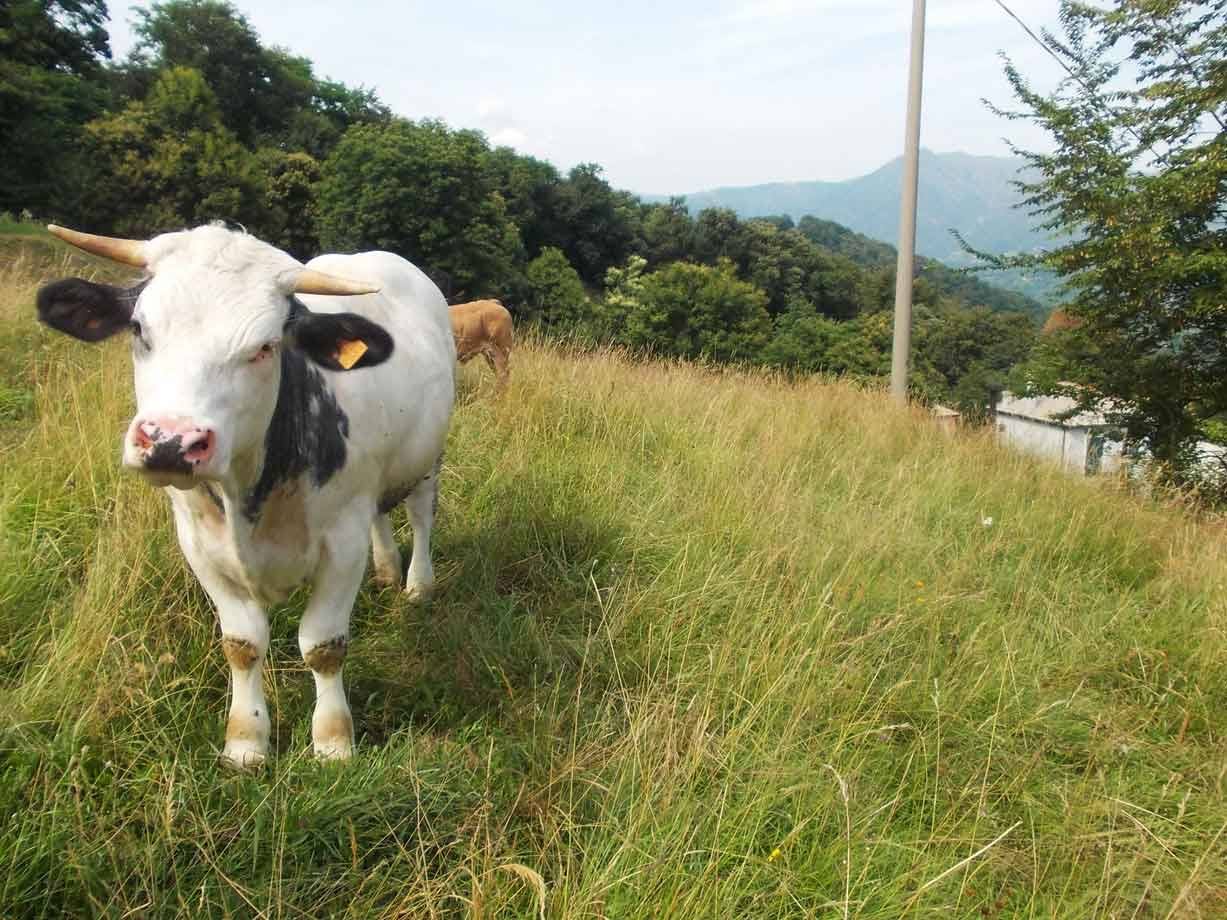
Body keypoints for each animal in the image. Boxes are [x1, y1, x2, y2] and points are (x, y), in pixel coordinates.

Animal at [36, 224, 455, 768]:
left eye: (265, 347)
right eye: (139, 330)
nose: (170, 441)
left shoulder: (342, 541)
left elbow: (323, 645)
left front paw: (333, 740)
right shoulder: (199, 544)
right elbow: (242, 644)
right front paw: (245, 741)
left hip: (428, 458)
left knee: (421, 515)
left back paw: (417, 584)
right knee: (381, 516)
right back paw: (385, 569)